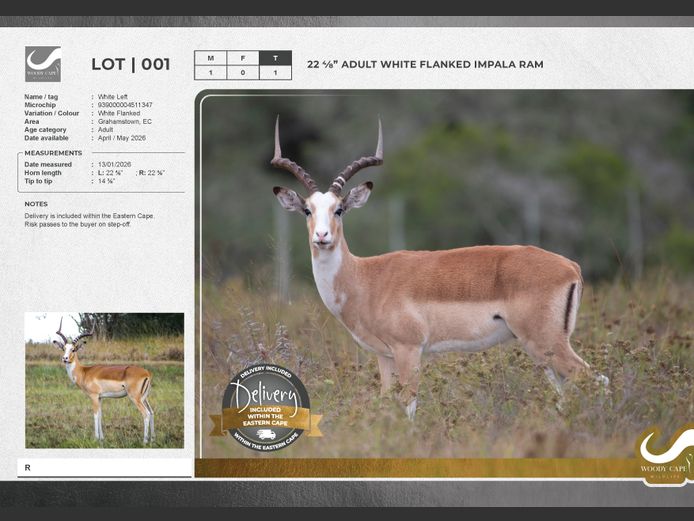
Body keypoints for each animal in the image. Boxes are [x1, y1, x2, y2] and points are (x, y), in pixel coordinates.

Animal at [271, 117, 609, 420]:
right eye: (307, 210)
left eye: (339, 209)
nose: (322, 236)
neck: (364, 279)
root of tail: (571, 267)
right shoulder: (384, 355)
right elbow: (387, 401)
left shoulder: (409, 349)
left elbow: (408, 405)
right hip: (542, 350)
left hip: (544, 342)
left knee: (595, 379)